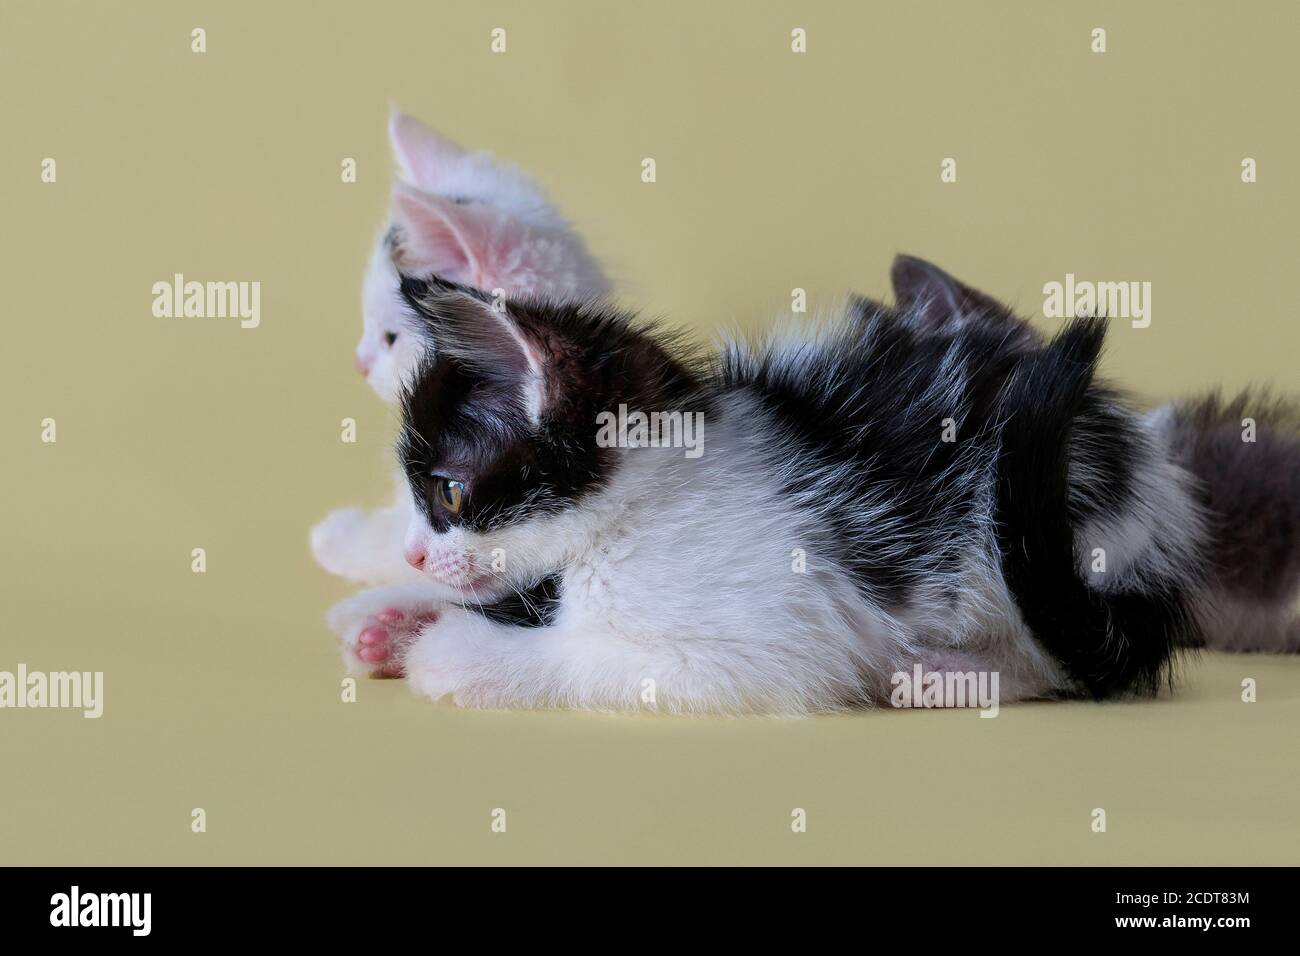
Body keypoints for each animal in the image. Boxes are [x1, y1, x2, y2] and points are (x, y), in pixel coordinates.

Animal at [327, 257, 1300, 712]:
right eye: (419, 498)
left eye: (449, 494)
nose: (415, 550)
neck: (640, 512)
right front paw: (391, 610)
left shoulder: (760, 644)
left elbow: (599, 658)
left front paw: (454, 650)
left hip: (1035, 542)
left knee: (1058, 661)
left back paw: (935, 673)